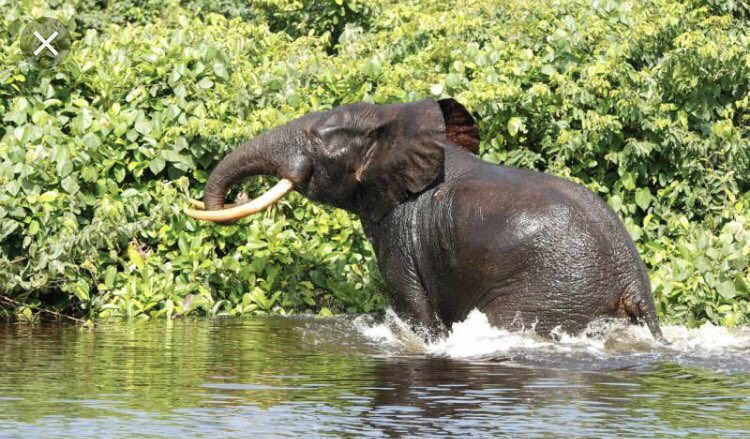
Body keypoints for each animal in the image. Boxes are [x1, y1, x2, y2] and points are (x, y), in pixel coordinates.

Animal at [186, 98, 665, 342]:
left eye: (320, 139)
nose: (237, 195)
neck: (396, 119)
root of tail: (632, 280)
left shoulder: (401, 230)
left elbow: (414, 309)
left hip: (552, 291)